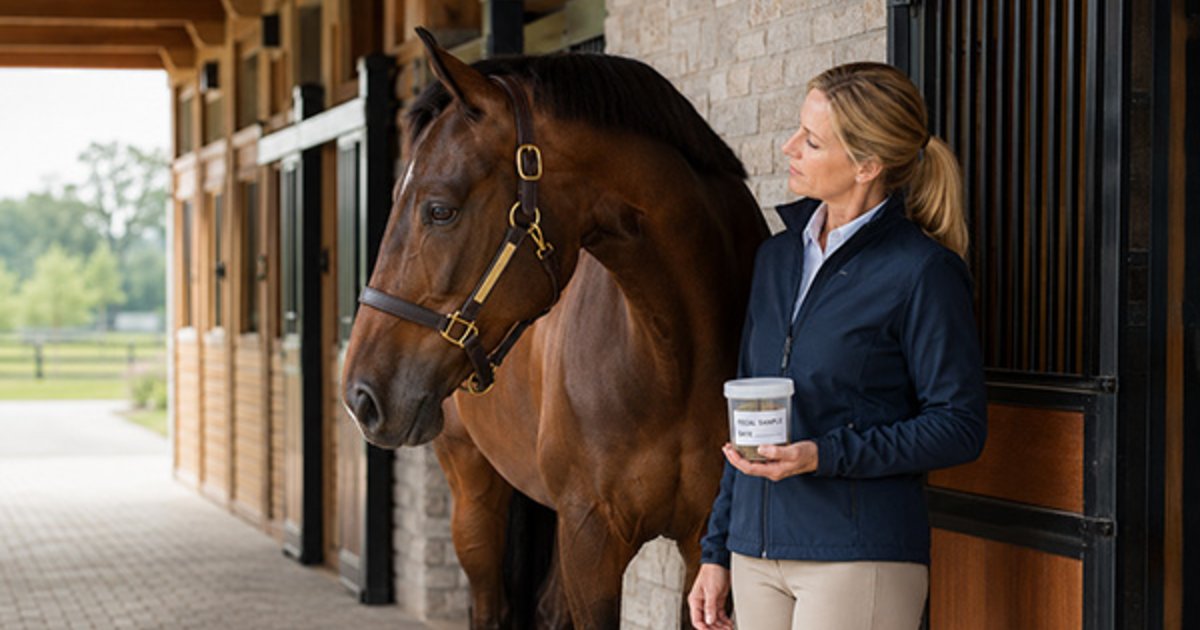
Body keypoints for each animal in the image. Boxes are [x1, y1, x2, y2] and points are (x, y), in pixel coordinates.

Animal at [341, 29, 768, 628]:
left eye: (440, 210)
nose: (361, 395)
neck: (673, 357)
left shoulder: (703, 541)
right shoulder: (590, 535)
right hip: (473, 488)